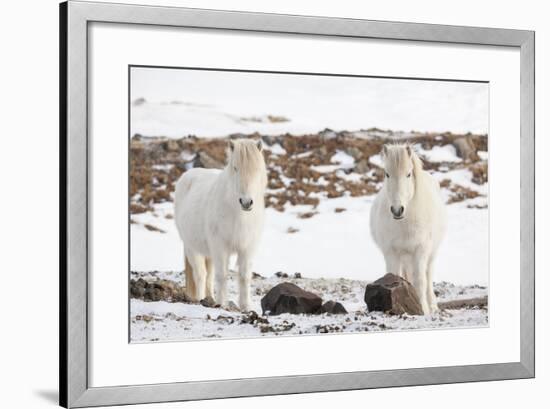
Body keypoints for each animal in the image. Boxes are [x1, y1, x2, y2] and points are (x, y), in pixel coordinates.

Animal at [174, 137, 266, 310]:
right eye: (235, 168)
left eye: (257, 169)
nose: (246, 202)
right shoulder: (220, 246)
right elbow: (222, 275)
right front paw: (222, 304)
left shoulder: (248, 247)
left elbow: (244, 275)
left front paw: (245, 306)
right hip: (191, 247)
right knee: (201, 275)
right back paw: (201, 299)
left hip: (208, 252)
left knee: (209, 277)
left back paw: (209, 299)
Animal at [370, 143, 448, 312]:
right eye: (387, 174)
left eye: (408, 174)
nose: (397, 210)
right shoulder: (391, 252)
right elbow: (392, 277)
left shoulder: (421, 250)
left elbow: (420, 281)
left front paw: (424, 310)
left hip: (430, 254)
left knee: (428, 277)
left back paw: (433, 306)